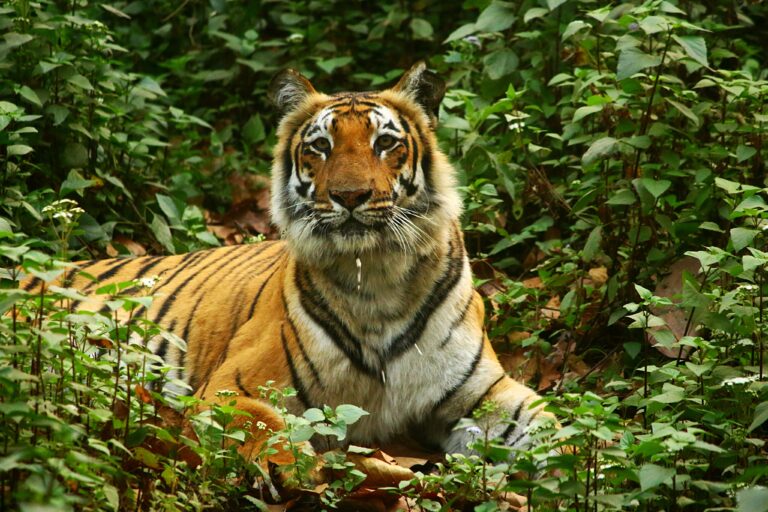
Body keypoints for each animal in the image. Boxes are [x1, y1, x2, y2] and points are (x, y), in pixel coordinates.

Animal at [22, 62, 553, 462]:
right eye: (321, 146)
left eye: (385, 143)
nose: (350, 196)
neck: (376, 275)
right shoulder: (233, 387)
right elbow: (267, 429)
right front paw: (298, 473)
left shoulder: (484, 392)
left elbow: (554, 427)